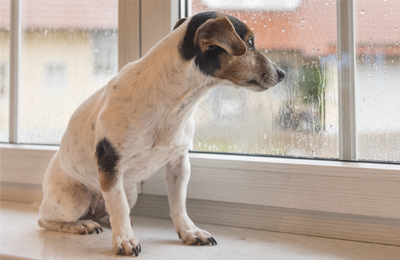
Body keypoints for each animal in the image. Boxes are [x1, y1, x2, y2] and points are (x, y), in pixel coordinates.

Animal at [38, 10, 284, 256]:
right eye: (249, 43)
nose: (282, 73)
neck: (174, 102)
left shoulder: (179, 162)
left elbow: (178, 204)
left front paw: (189, 232)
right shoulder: (110, 164)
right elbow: (119, 208)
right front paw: (124, 239)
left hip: (130, 191)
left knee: (110, 212)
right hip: (73, 200)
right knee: (46, 219)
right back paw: (82, 225)